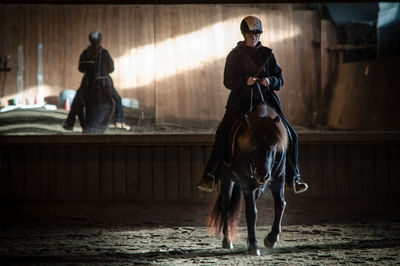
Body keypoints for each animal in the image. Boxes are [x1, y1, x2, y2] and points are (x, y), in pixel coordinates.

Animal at [206, 102, 288, 256]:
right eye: (253, 142)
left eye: (275, 142)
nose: (262, 174)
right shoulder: (247, 183)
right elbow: (251, 212)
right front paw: (254, 246)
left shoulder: (278, 178)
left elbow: (280, 204)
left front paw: (271, 239)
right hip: (227, 180)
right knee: (226, 206)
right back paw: (227, 240)